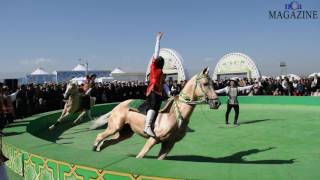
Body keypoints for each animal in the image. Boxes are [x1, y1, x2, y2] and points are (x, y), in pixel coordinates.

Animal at [90, 67, 220, 159]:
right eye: (205, 84)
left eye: (213, 83)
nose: (216, 103)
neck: (174, 114)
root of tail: (118, 106)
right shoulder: (153, 139)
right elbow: (140, 156)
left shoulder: (168, 144)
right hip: (114, 127)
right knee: (99, 136)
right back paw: (94, 147)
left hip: (124, 133)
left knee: (108, 141)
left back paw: (99, 148)